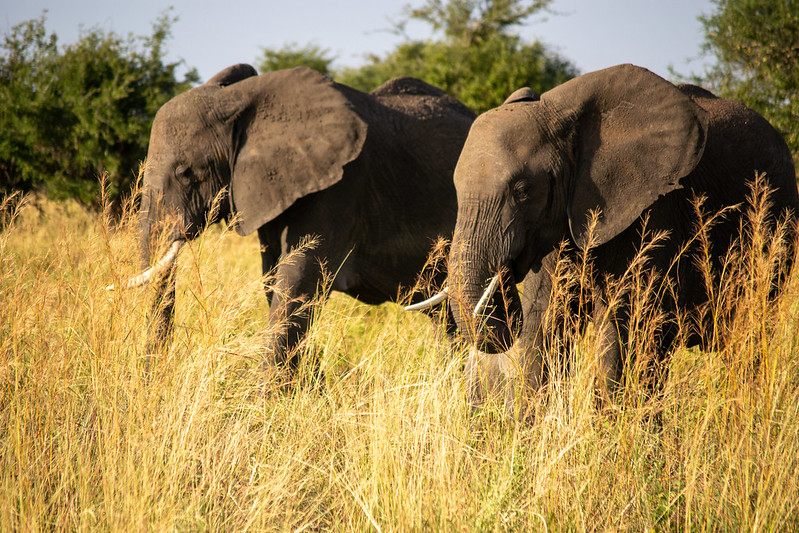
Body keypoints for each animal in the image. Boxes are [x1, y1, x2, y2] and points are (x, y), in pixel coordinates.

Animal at [111, 64, 475, 375]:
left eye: (188, 173)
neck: (241, 100)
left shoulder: (339, 188)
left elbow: (296, 283)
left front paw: (263, 407)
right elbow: (274, 282)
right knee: (445, 318)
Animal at [410, 64, 799, 409]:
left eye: (522, 190)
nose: (503, 280)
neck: (562, 114)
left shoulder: (652, 210)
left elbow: (621, 332)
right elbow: (543, 323)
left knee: (747, 336)